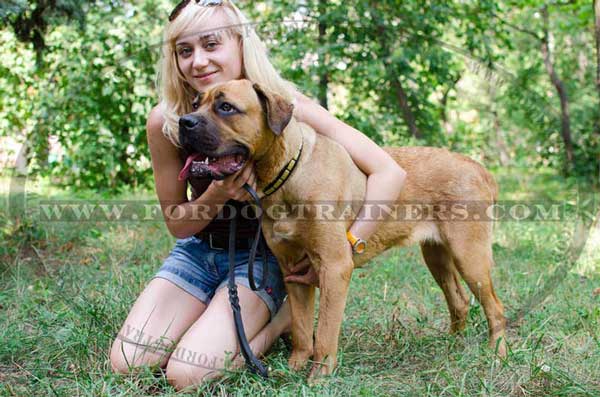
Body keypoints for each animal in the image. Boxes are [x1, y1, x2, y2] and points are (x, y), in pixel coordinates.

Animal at [177, 79, 506, 378]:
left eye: (226, 107)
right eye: (195, 103)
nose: (184, 121)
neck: (287, 174)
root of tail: (479, 168)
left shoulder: (334, 267)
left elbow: (324, 331)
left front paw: (318, 376)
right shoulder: (292, 269)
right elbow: (302, 327)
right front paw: (295, 367)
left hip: (469, 256)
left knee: (496, 308)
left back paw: (496, 354)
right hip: (437, 255)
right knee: (459, 301)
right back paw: (454, 345)